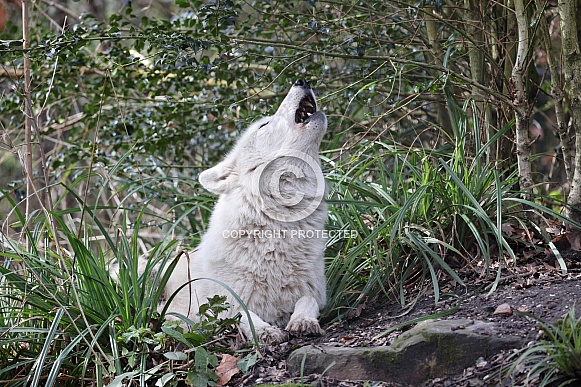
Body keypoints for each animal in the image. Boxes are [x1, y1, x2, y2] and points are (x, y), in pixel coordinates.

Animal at [157, 79, 326, 346]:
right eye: (264, 125)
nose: (302, 80)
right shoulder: (222, 303)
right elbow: (243, 314)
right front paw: (266, 331)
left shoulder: (315, 292)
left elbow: (307, 301)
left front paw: (303, 321)